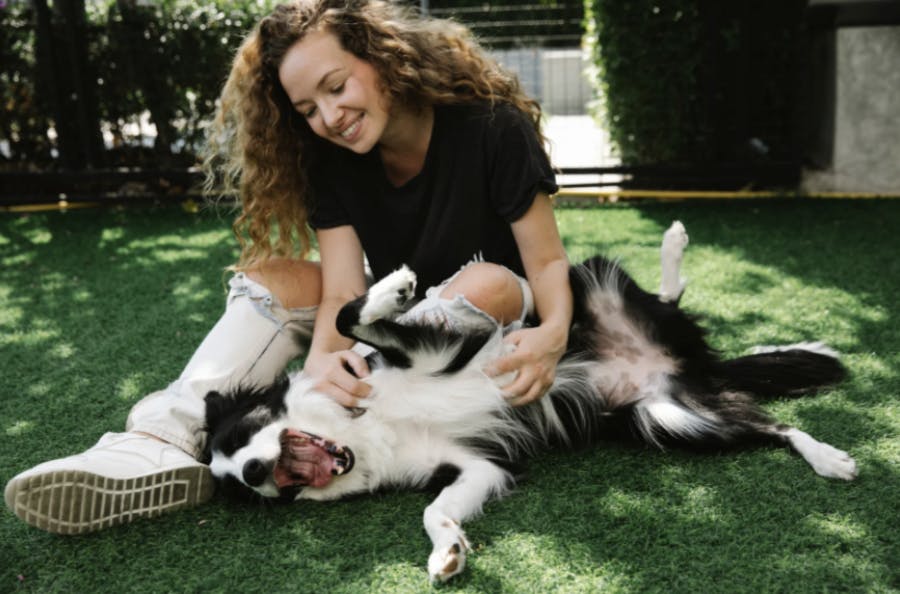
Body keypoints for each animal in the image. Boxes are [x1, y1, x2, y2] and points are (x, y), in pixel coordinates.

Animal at [200, 222, 856, 580]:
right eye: (245, 490)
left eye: (244, 431)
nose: (255, 473)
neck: (364, 429)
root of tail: (693, 363)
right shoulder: (475, 465)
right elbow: (434, 510)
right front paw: (448, 553)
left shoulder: (430, 350)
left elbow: (348, 316)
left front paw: (394, 286)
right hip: (670, 416)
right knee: (767, 425)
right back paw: (828, 457)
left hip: (588, 282)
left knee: (665, 299)